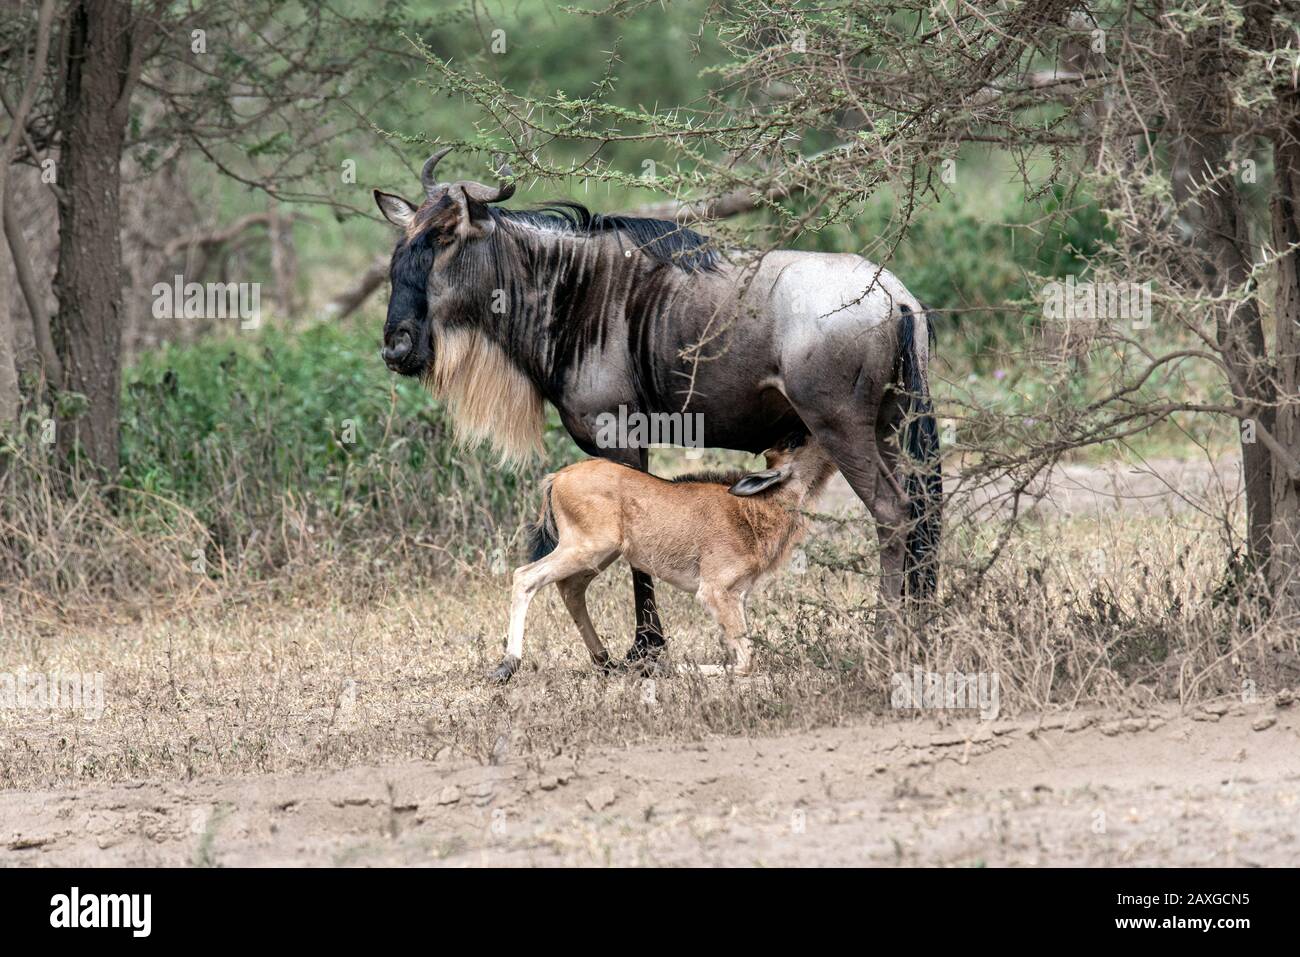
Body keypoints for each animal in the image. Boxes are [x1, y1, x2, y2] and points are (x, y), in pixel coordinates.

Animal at [488, 434, 832, 681]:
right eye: (794, 442)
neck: (751, 510)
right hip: (586, 549)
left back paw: (607, 662)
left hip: (599, 556)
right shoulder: (715, 591)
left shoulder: (737, 595)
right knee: (525, 576)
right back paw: (508, 665)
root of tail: (558, 477)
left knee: (571, 589)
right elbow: (746, 659)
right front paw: (662, 667)